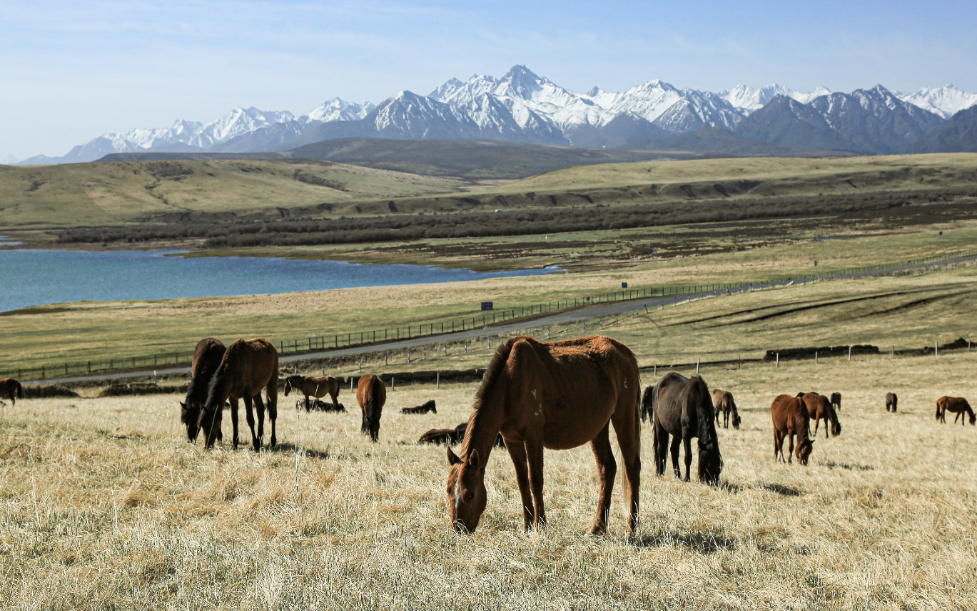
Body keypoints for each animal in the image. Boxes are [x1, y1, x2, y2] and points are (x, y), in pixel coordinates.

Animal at [446, 335, 641, 537]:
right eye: (449, 491)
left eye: (470, 494)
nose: (457, 530)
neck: (510, 383)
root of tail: (625, 352)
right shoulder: (511, 440)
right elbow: (522, 481)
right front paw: (526, 526)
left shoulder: (533, 437)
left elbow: (535, 480)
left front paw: (540, 524)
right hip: (598, 427)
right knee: (607, 468)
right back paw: (597, 528)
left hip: (624, 416)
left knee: (632, 468)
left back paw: (631, 529)